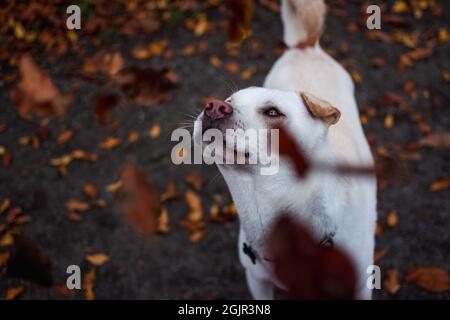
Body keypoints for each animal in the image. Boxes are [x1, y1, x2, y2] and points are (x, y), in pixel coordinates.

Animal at [193, 0, 376, 300]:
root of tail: (306, 47)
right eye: (230, 100)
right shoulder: (257, 279)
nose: (214, 106)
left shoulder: (359, 286)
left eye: (272, 112)